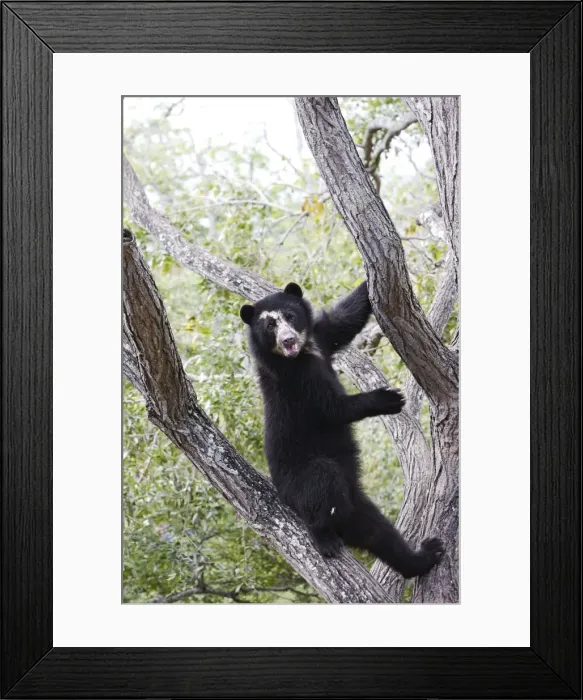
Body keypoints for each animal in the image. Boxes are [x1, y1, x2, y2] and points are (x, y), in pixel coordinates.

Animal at [240, 281, 444, 578]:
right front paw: (389, 398)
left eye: (290, 316)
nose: (288, 340)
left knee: (380, 534)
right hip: (298, 483)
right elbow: (333, 408)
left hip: (358, 506)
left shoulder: (321, 337)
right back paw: (323, 536)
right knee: (322, 478)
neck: (303, 353)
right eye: (269, 326)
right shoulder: (296, 380)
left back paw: (425, 556)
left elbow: (345, 318)